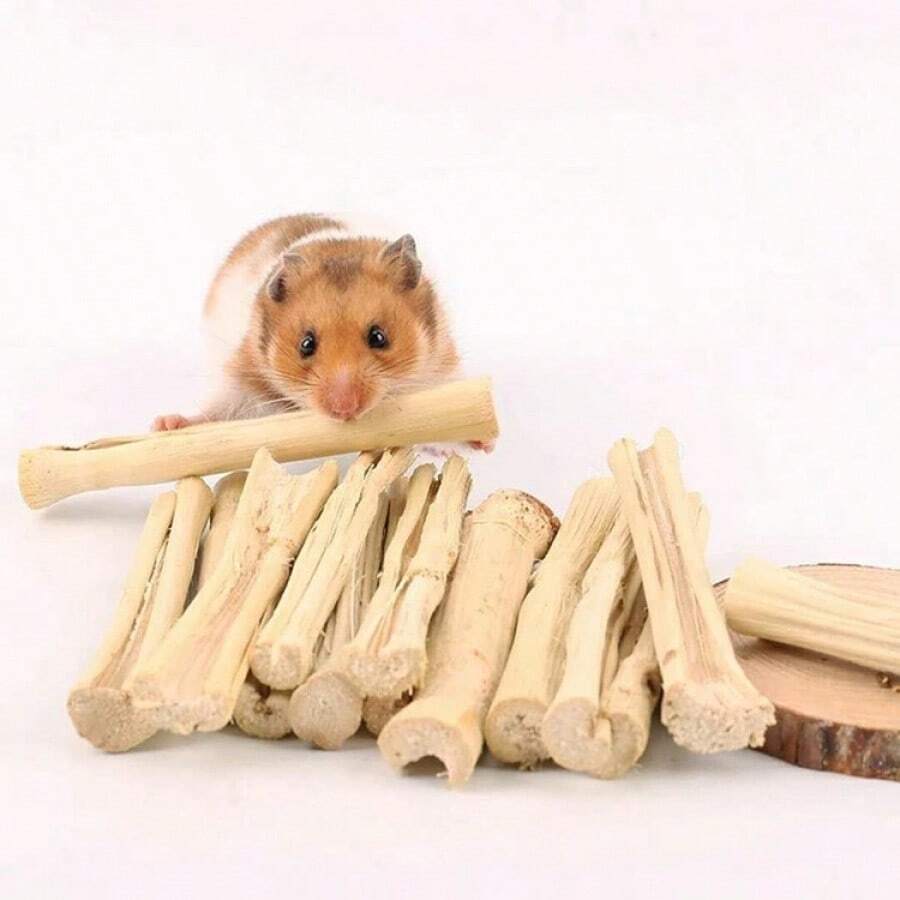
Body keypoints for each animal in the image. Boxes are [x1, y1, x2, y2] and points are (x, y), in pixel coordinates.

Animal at [152, 214, 461, 431]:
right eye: (306, 344)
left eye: (379, 337)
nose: (344, 410)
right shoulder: (243, 372)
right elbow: (220, 407)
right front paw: (165, 424)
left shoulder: (440, 366)